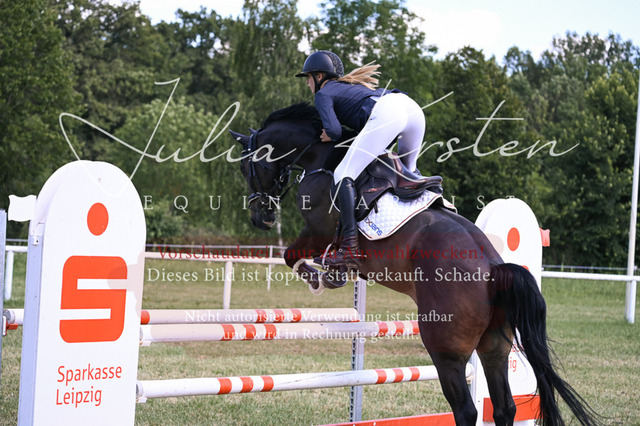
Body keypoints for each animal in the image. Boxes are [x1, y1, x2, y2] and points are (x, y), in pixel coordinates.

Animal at [230, 102, 599, 426]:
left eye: (244, 167)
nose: (260, 217)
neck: (319, 156)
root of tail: (495, 271)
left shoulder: (318, 230)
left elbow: (292, 255)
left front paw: (324, 277)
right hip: (495, 347)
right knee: (504, 408)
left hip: (445, 350)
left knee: (466, 411)